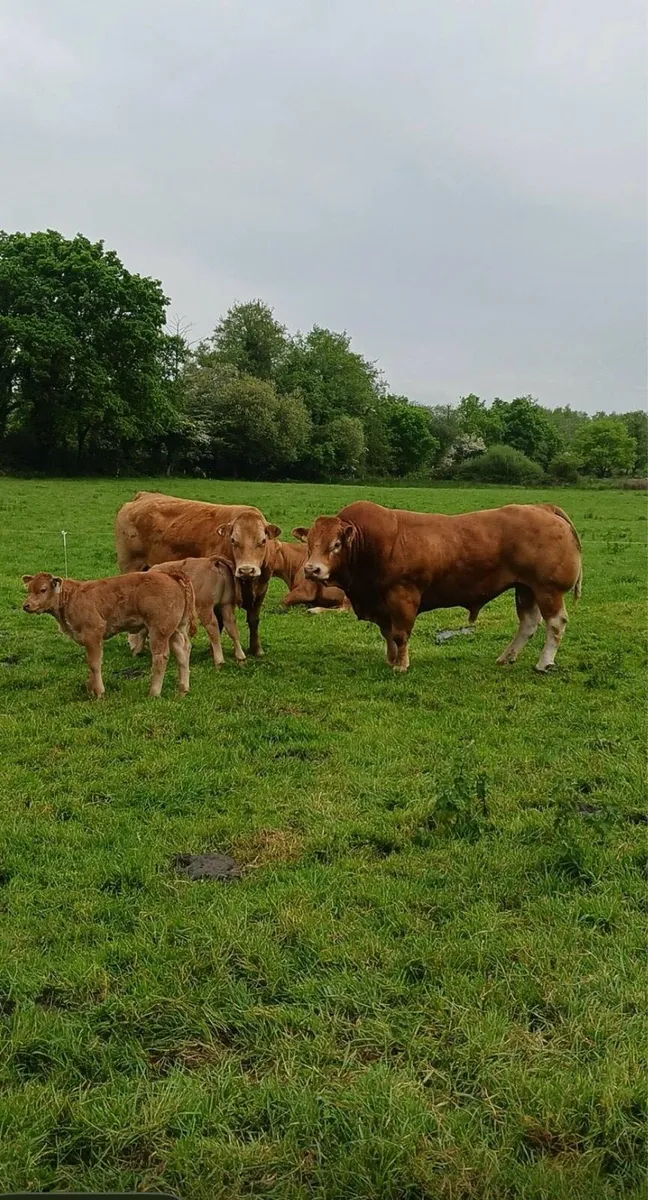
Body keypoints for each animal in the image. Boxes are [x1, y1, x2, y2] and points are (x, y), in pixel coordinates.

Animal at [21, 569, 195, 698]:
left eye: (43, 589)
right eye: (28, 589)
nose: (26, 605)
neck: (71, 598)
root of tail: (168, 575)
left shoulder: (93, 633)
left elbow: (94, 663)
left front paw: (99, 692)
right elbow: (90, 663)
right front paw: (90, 690)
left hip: (159, 629)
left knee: (161, 657)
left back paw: (154, 693)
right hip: (175, 629)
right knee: (183, 651)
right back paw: (183, 690)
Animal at [114, 491, 281, 657]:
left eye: (263, 541)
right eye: (233, 540)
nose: (246, 570)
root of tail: (143, 495)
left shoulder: (261, 589)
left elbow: (253, 620)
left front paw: (256, 649)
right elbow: (219, 622)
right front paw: (213, 651)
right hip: (130, 567)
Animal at [294, 501, 582, 674]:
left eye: (336, 545)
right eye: (309, 543)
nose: (312, 569)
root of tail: (543, 507)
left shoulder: (402, 596)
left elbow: (400, 634)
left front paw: (401, 665)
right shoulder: (380, 603)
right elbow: (387, 634)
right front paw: (391, 659)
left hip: (547, 589)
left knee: (555, 623)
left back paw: (544, 662)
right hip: (525, 588)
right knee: (529, 623)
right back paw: (507, 657)